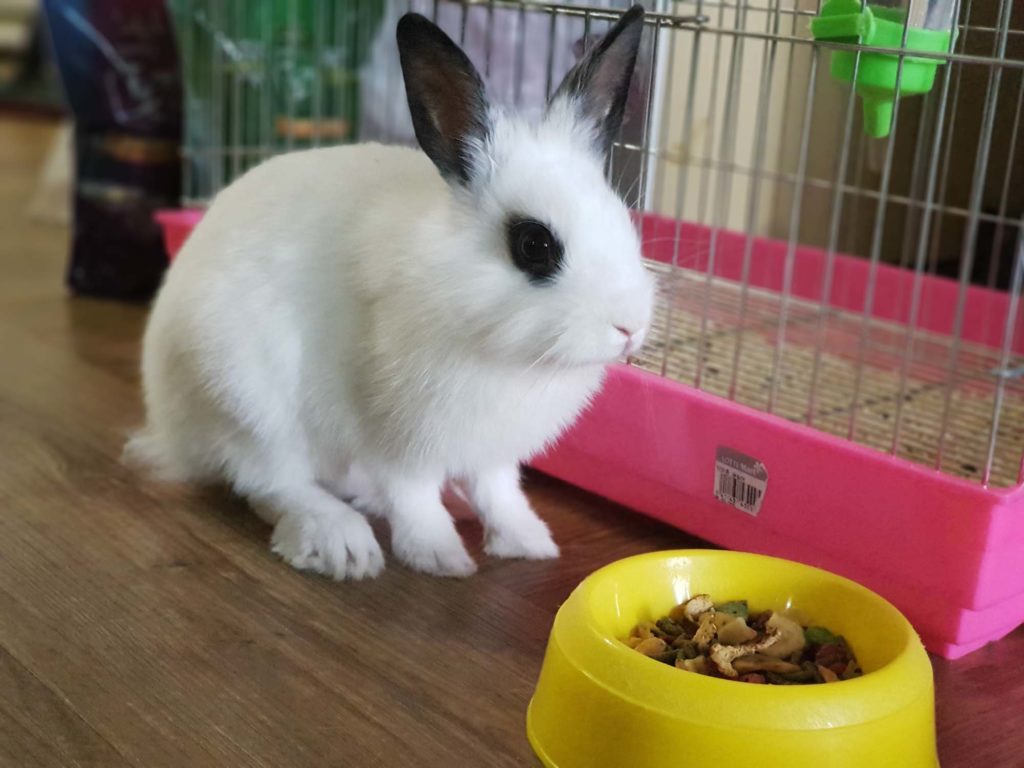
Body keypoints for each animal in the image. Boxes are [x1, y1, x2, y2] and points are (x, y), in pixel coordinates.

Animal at [127, 6, 655, 580]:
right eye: (534, 245)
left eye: (622, 220)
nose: (629, 328)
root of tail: (169, 425)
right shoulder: (397, 438)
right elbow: (414, 496)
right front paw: (440, 557)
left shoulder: (492, 452)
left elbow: (499, 493)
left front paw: (527, 543)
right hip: (246, 403)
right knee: (270, 484)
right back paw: (341, 543)